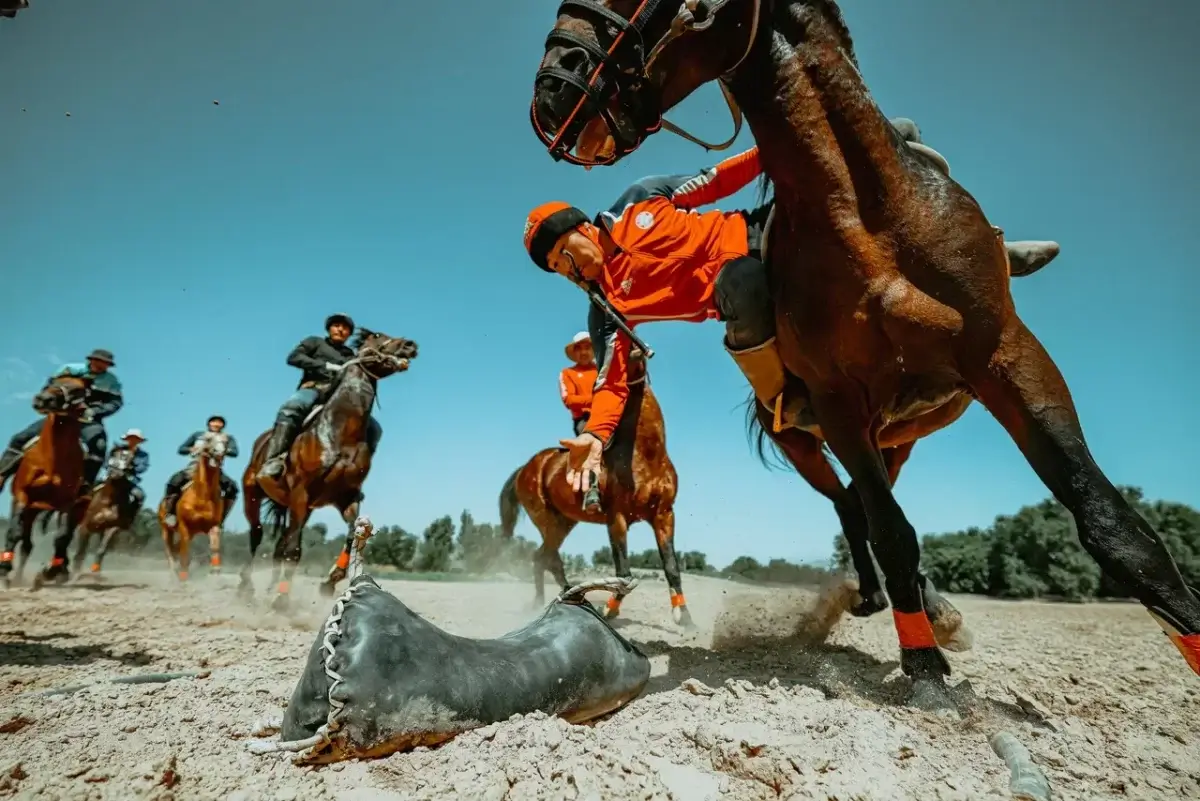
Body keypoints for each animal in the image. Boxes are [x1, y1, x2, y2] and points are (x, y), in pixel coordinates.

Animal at [0, 374, 90, 587]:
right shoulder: (22, 495)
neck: (51, 461)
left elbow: (62, 537)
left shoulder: (67, 503)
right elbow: (13, 533)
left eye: (78, 390)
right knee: (22, 540)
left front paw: (51, 571)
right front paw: (4, 570)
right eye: (52, 382)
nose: (43, 399)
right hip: (26, 507)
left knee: (34, 544)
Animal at [72, 448, 141, 577]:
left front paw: (96, 572)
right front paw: (76, 572)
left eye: (131, 459)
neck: (110, 500)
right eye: (116, 456)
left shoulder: (113, 528)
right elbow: (81, 550)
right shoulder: (86, 526)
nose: (120, 472)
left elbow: (101, 549)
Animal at [241, 328, 420, 609]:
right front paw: (282, 599)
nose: (410, 345)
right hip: (253, 494)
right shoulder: (301, 492)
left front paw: (330, 581)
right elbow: (293, 551)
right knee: (257, 536)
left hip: (301, 508)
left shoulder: (346, 496)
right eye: (377, 335)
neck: (340, 431)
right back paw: (246, 588)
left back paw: (268, 589)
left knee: (280, 545)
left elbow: (351, 536)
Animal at [496, 347, 696, 623]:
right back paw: (561, 600)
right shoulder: (617, 518)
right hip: (547, 520)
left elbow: (671, 566)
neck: (646, 453)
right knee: (548, 559)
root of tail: (526, 468)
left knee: (543, 558)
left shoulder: (664, 515)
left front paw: (684, 616)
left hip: (564, 521)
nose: (635, 352)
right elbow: (623, 572)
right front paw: (610, 609)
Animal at [530, 0, 1200, 705]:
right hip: (814, 441)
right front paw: (925, 668)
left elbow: (1111, 523)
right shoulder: (837, 399)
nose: (551, 87)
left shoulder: (1011, 358)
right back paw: (895, 603)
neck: (870, 221)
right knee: (856, 505)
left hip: (900, 433)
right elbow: (891, 530)